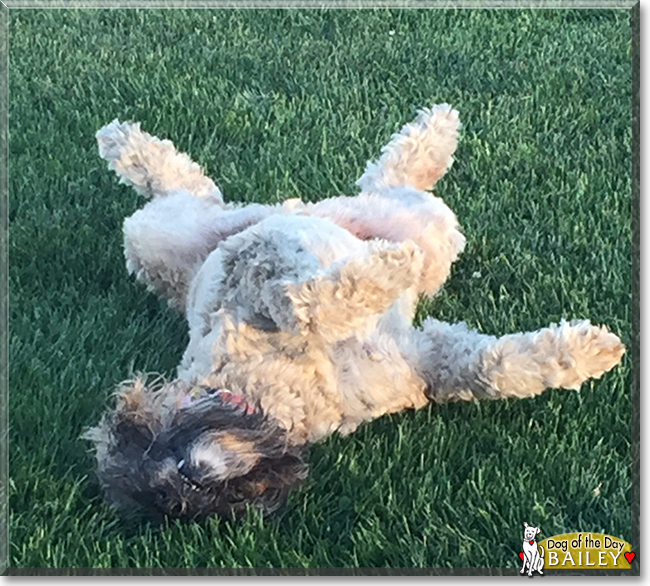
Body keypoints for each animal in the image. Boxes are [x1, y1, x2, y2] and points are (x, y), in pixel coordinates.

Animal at [86, 105, 624, 520]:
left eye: (187, 478)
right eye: (186, 492)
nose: (199, 476)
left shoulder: (256, 266)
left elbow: (298, 299)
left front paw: (592, 350)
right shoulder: (423, 361)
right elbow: (484, 365)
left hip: (186, 228)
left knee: (191, 182)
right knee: (387, 183)